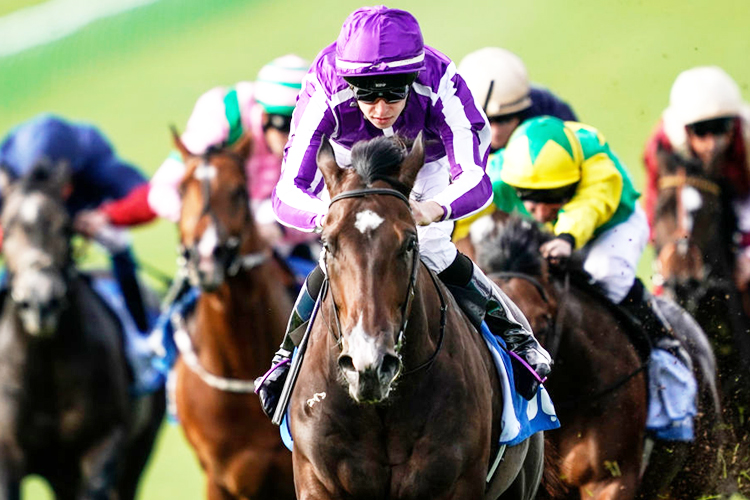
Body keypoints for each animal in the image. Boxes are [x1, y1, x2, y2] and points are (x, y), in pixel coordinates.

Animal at [0, 163, 164, 496]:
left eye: (64, 227)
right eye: (7, 228)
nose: (40, 301)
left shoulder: (103, 446)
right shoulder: (9, 451)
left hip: (138, 452)